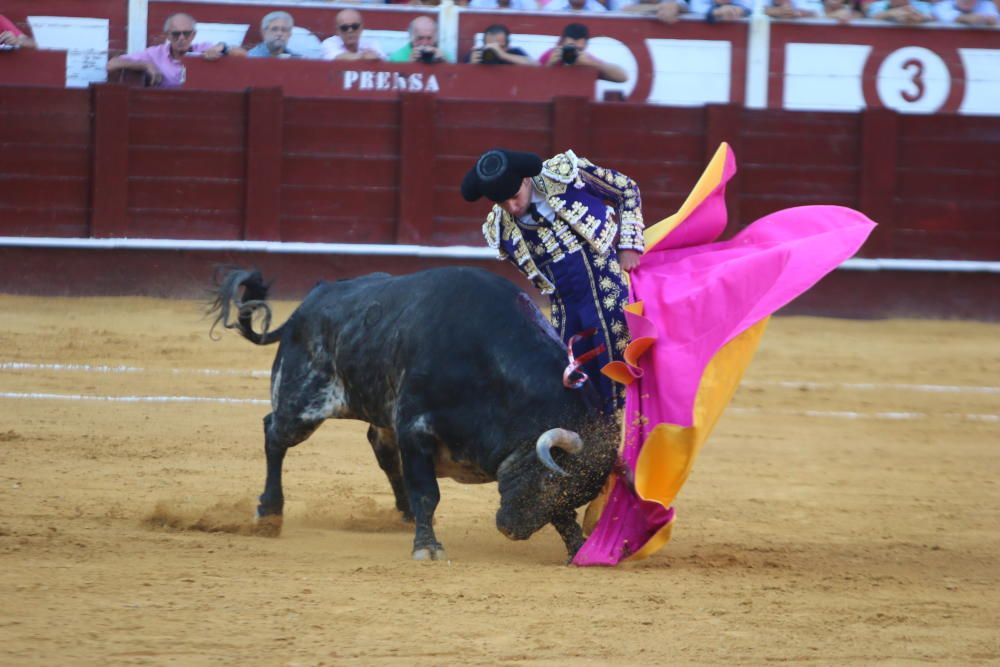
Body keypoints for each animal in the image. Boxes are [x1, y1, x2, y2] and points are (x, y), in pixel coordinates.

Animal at [210, 268, 616, 560]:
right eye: (547, 481)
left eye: (574, 492)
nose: (511, 529)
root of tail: (308, 303)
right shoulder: (416, 429)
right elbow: (427, 493)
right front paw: (428, 546)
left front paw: (577, 547)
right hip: (302, 402)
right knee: (274, 434)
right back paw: (269, 513)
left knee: (382, 451)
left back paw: (403, 514)